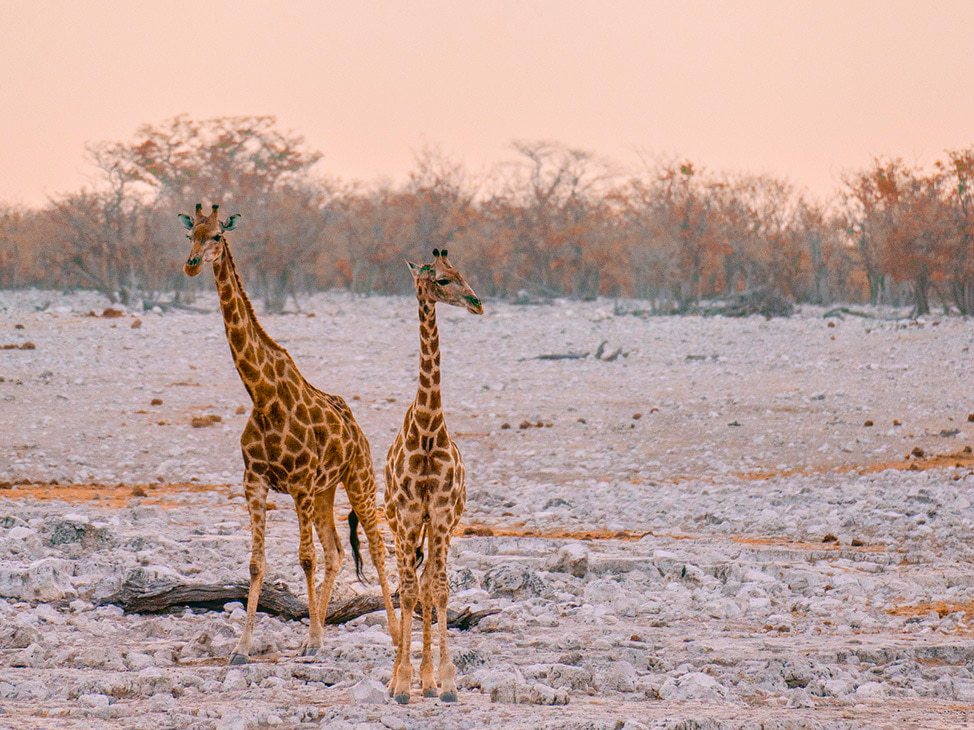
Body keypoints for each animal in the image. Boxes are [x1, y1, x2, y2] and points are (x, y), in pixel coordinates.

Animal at [177, 203, 398, 664]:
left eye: (217, 236)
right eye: (190, 236)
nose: (191, 265)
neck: (262, 395)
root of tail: (357, 430)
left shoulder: (298, 483)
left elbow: (305, 558)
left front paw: (310, 638)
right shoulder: (255, 482)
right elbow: (257, 563)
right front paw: (243, 647)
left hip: (358, 479)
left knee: (375, 546)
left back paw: (391, 632)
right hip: (325, 491)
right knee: (336, 552)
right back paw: (318, 633)